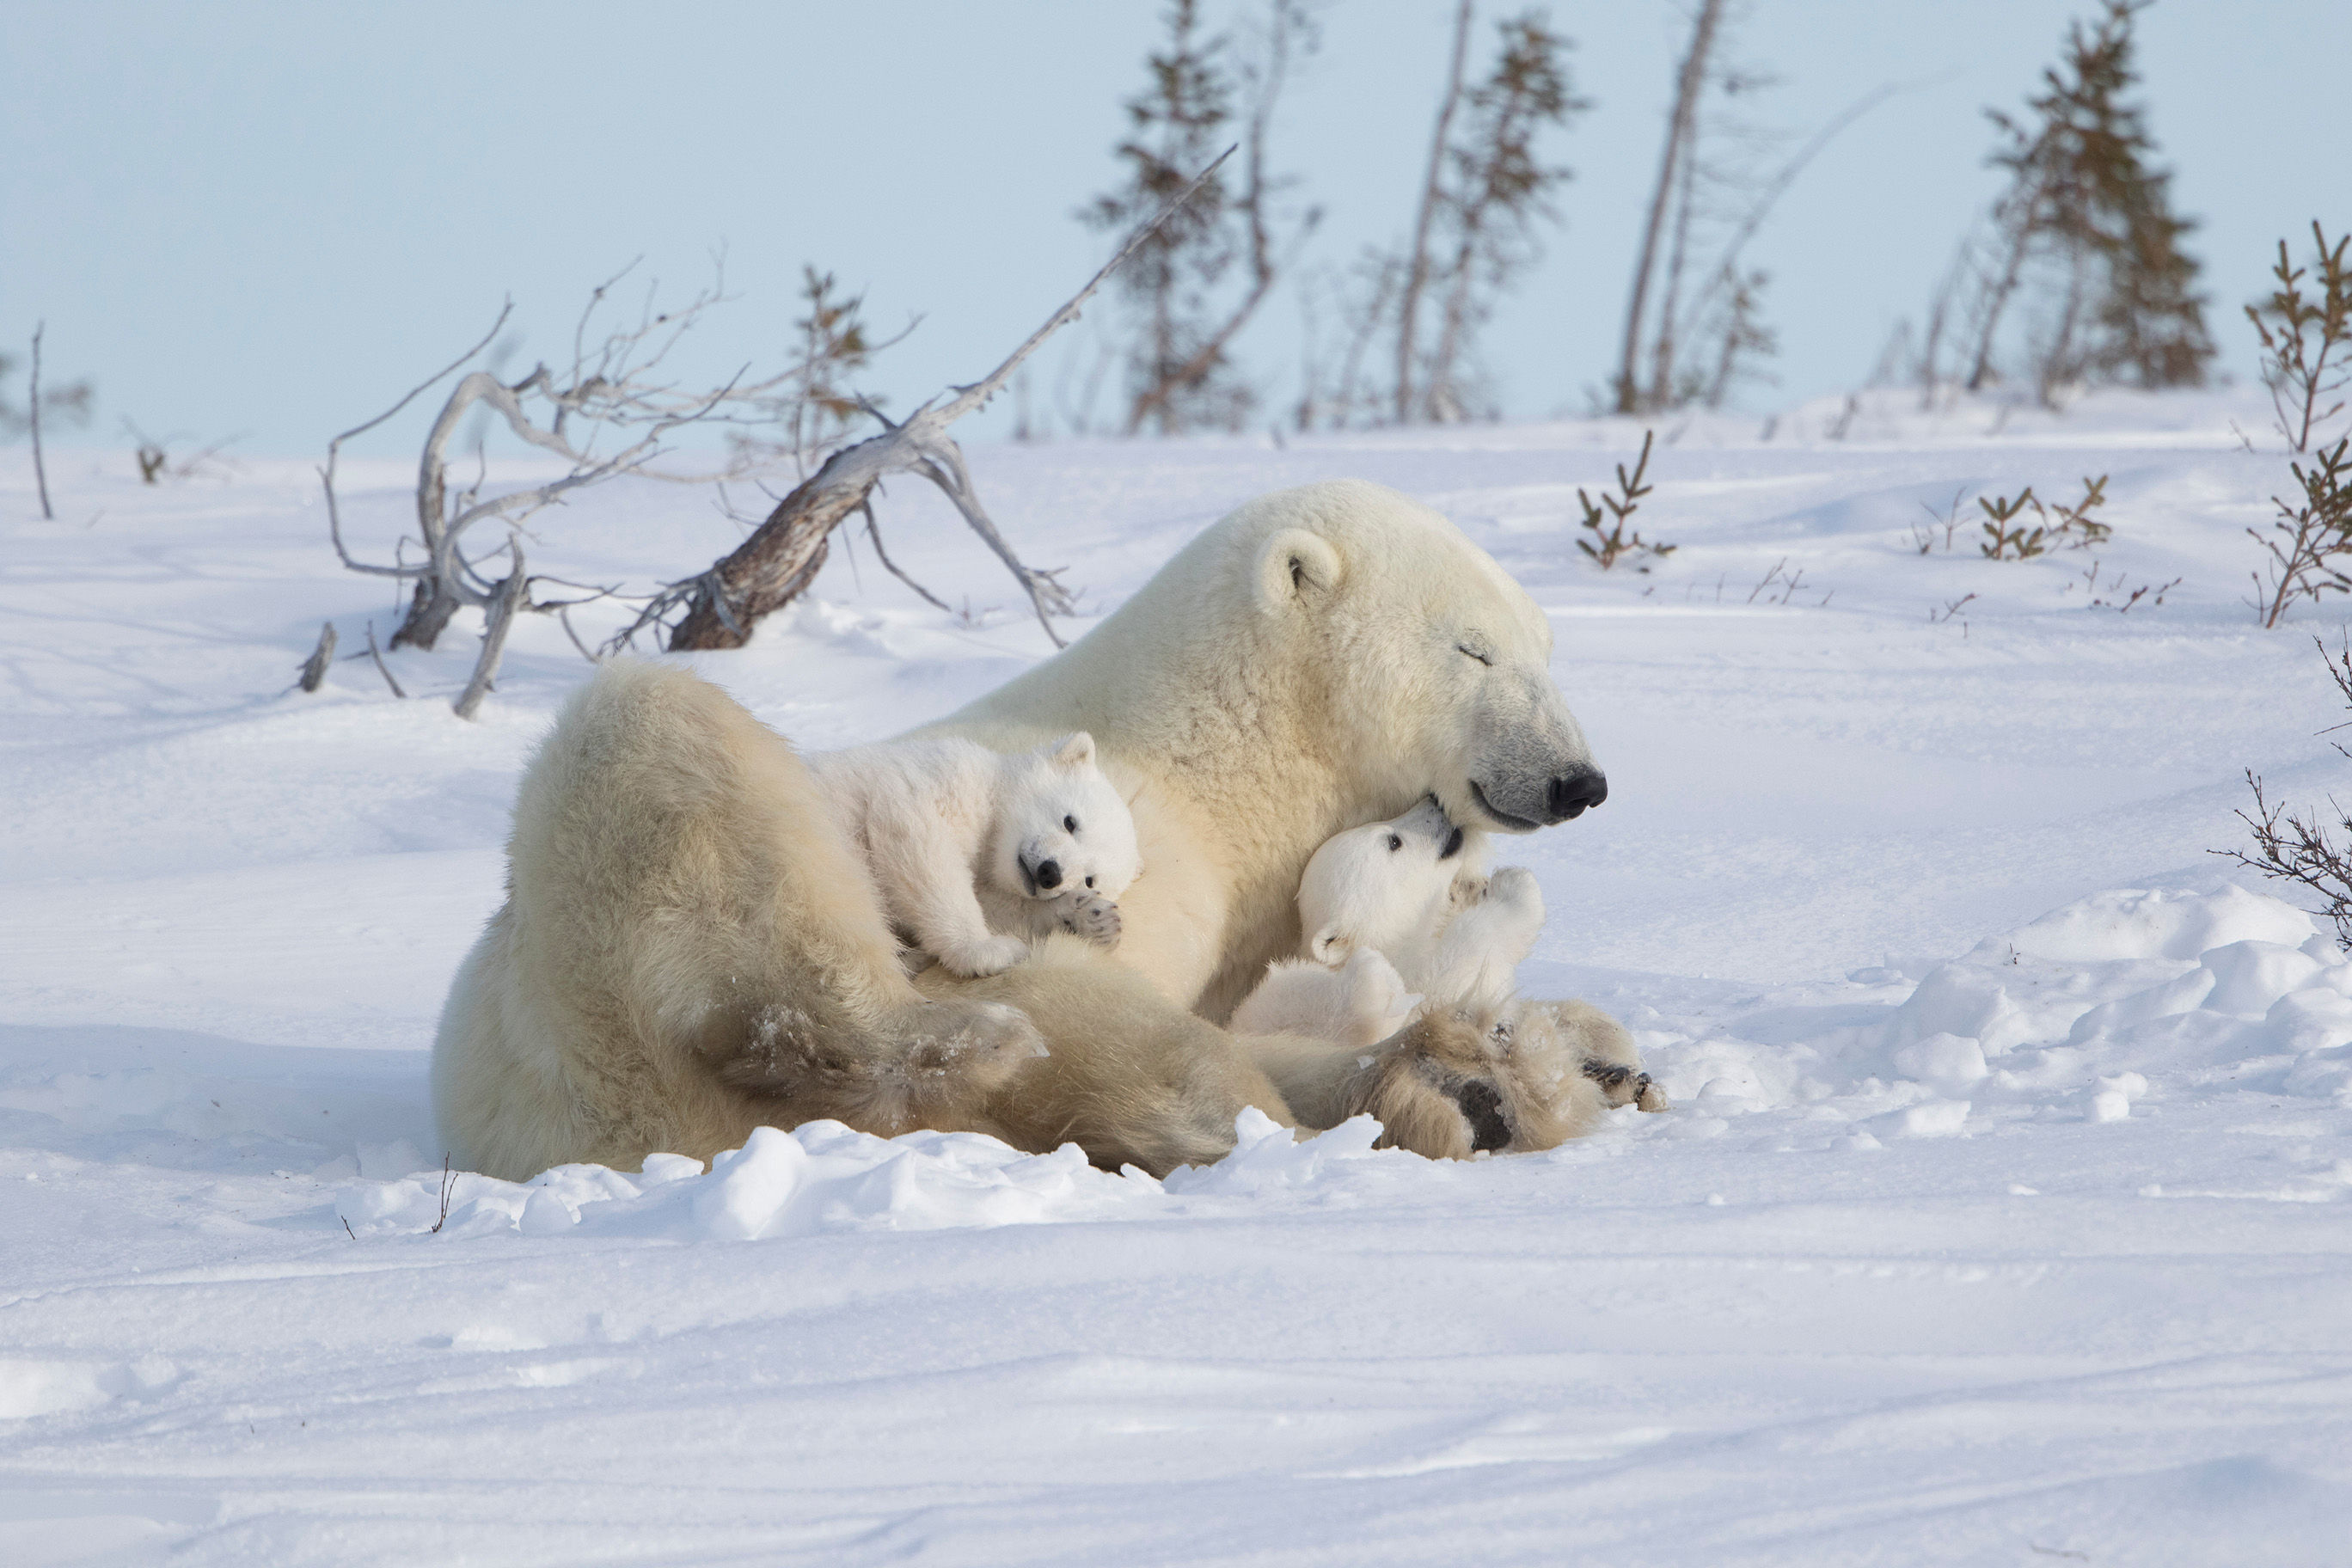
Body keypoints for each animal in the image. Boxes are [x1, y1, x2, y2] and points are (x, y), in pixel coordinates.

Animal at [803, 731, 1138, 979]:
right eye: (1070, 822)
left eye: (1090, 878)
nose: (1049, 873)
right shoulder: (942, 779)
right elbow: (921, 844)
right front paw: (989, 951)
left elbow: (996, 903)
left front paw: (1094, 916)